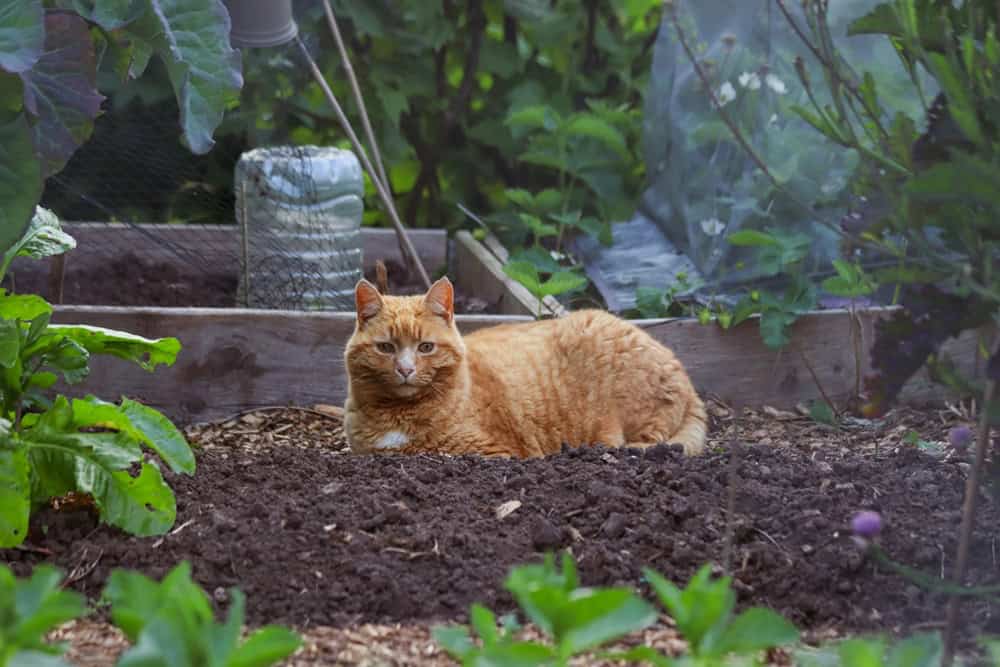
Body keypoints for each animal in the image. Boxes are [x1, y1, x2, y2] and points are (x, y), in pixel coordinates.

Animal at [346, 276, 712, 460]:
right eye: (386, 348)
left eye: (425, 347)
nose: (405, 369)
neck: (398, 414)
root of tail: (686, 377)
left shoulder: (491, 452)